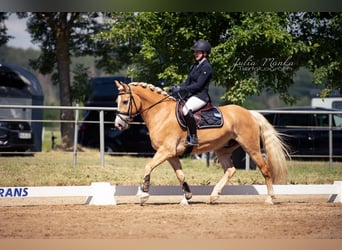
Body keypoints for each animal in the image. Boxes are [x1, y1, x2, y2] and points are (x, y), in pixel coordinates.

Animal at [115, 81, 288, 204]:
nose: (118, 124)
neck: (161, 113)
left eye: (125, 101)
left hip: (251, 148)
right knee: (230, 170)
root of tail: (250, 113)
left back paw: (270, 199)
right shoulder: (171, 154)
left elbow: (148, 166)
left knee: (265, 168)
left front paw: (143, 193)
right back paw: (213, 196)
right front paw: (187, 196)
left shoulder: (166, 151)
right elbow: (180, 174)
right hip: (222, 150)